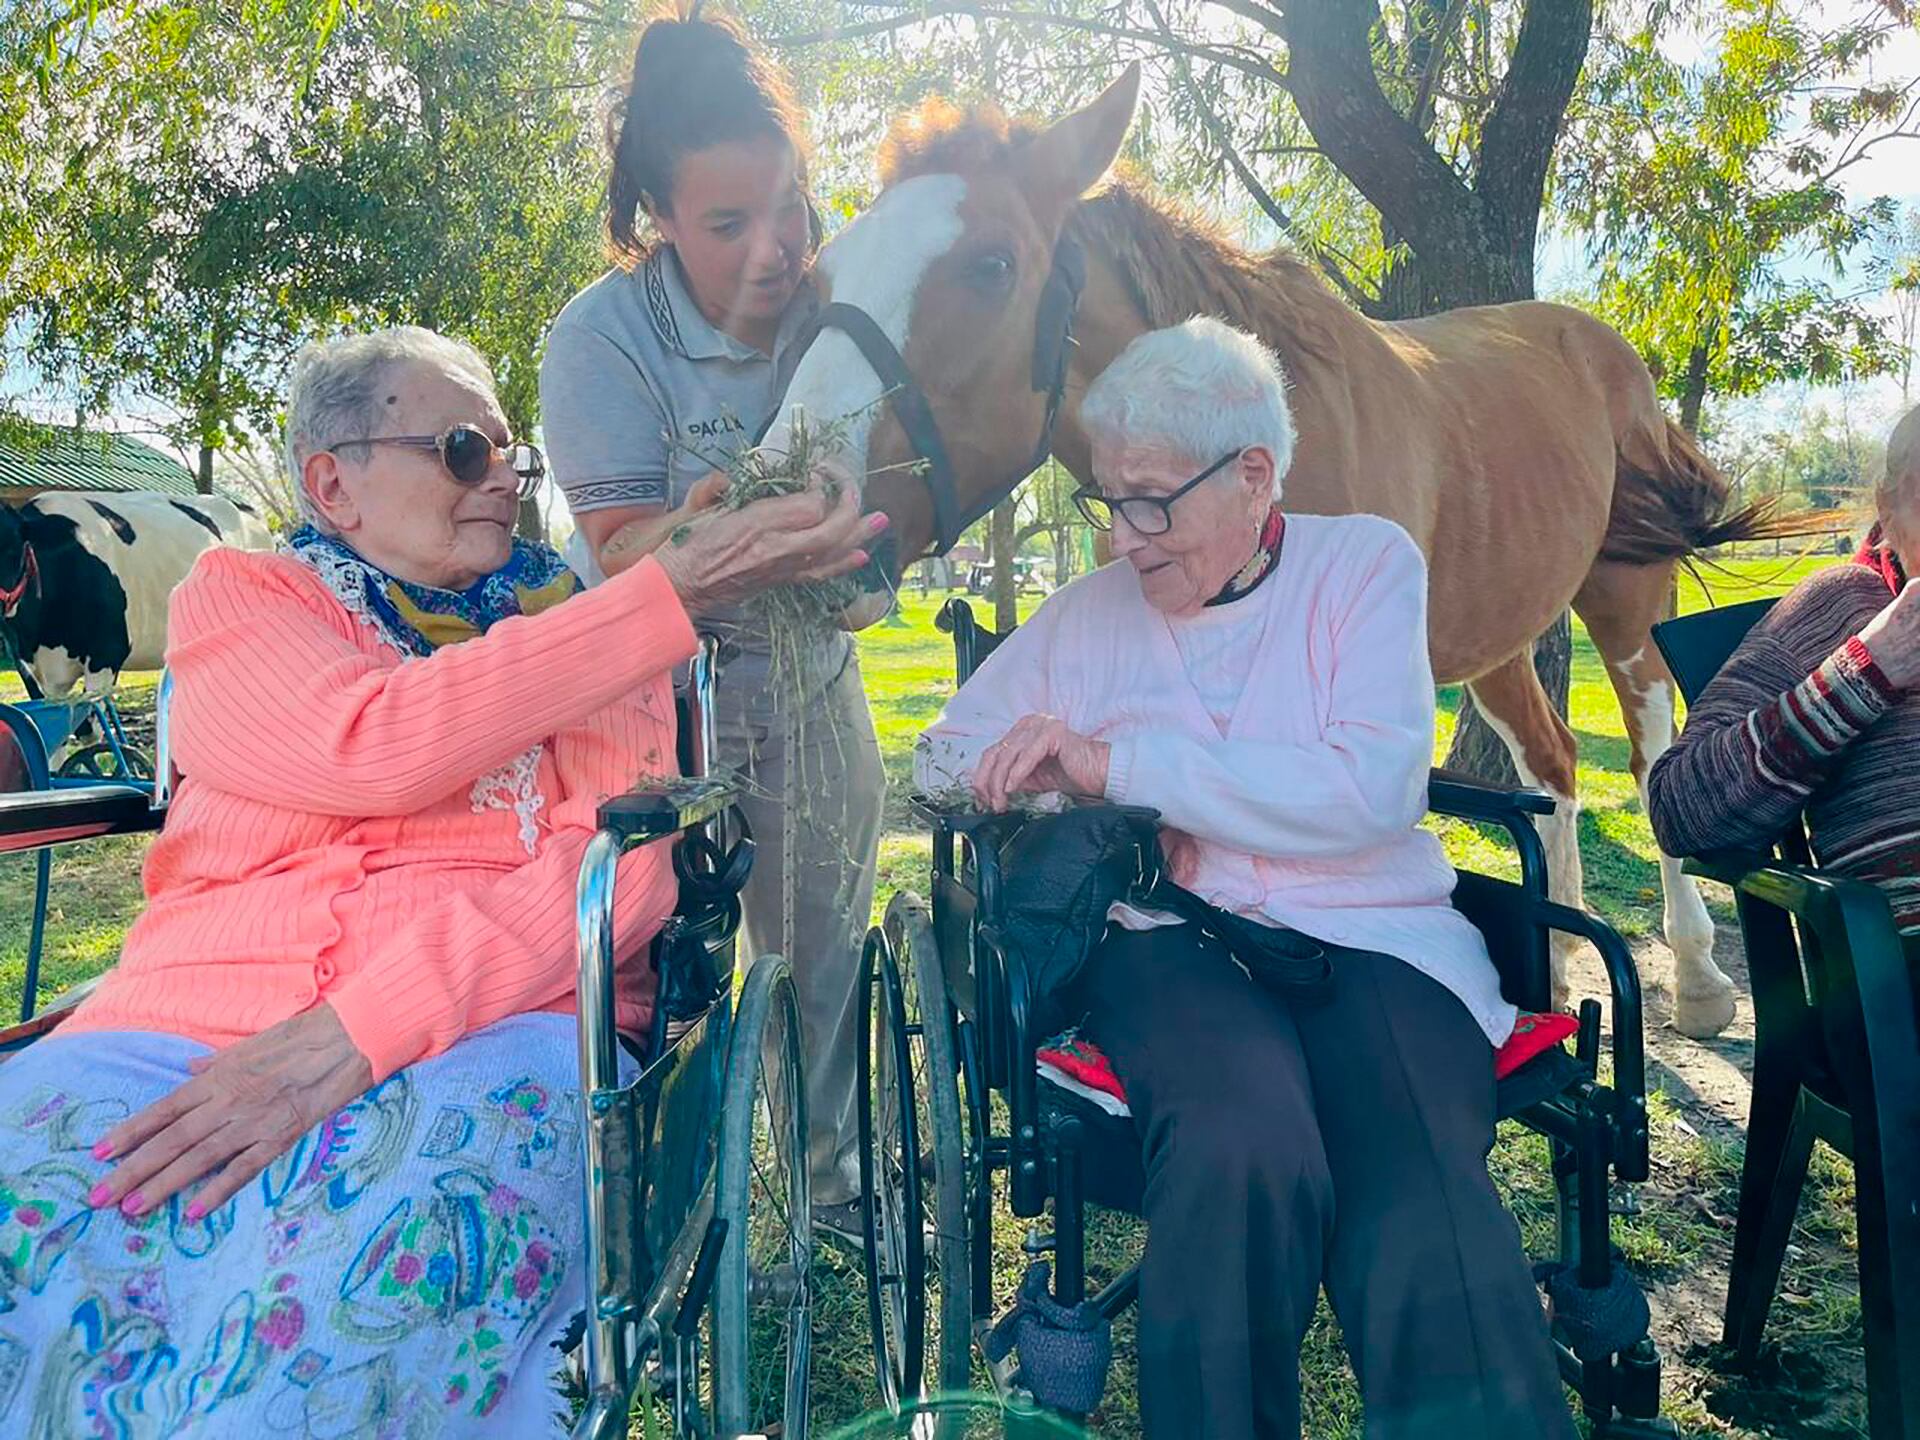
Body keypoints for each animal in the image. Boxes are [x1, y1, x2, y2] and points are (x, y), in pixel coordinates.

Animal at [764, 70, 1797, 1036]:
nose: (796, 515)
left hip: (1628, 602)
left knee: (1648, 756)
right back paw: (1557, 947)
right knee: (1555, 763)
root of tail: (1594, 345)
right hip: (1497, 642)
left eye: (992, 263)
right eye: (823, 277)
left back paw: (1698, 976)